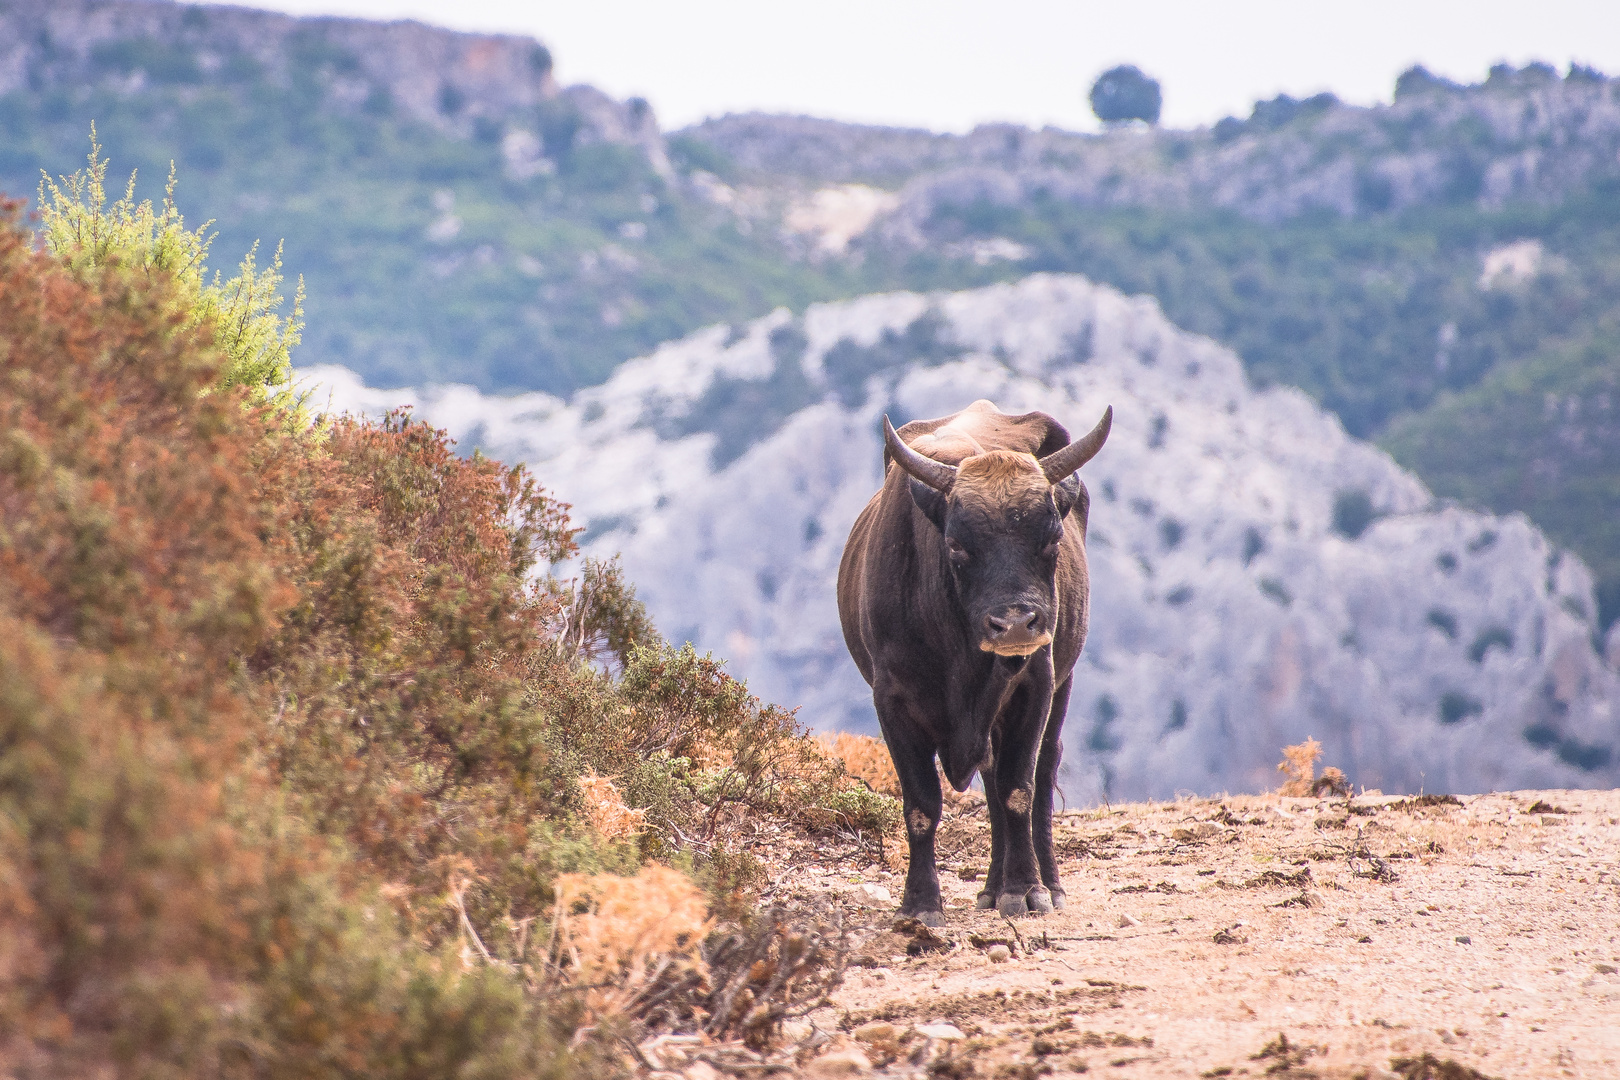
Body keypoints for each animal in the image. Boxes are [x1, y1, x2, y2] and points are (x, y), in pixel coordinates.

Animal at [835, 401, 1114, 926]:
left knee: (1041, 773)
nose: (1017, 625)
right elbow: (922, 804)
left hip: (1061, 684)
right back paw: (989, 888)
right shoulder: (892, 701)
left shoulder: (1034, 684)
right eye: (958, 545)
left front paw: (1025, 891)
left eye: (1051, 540)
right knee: (989, 779)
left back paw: (1046, 884)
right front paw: (921, 903)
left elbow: (1018, 789)